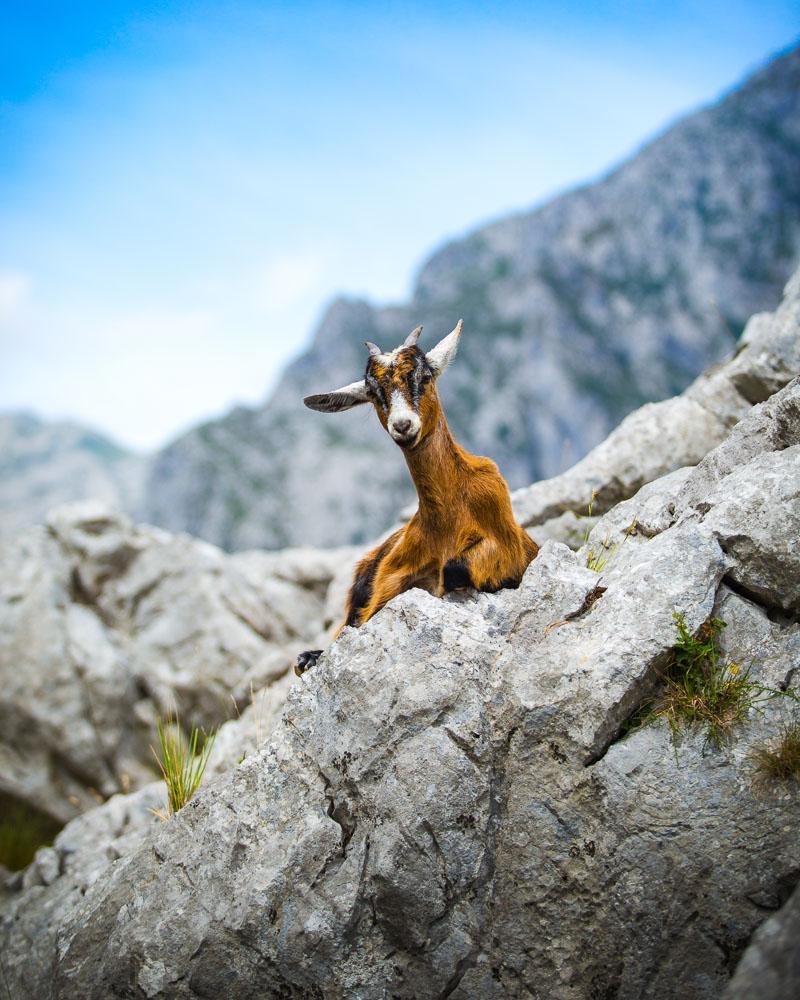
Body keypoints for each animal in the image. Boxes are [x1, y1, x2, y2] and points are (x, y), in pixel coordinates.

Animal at [294, 320, 536, 676]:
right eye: (374, 393)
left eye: (423, 377)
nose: (403, 425)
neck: (447, 516)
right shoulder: (386, 584)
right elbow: (362, 620)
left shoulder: (507, 545)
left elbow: (455, 567)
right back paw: (308, 657)